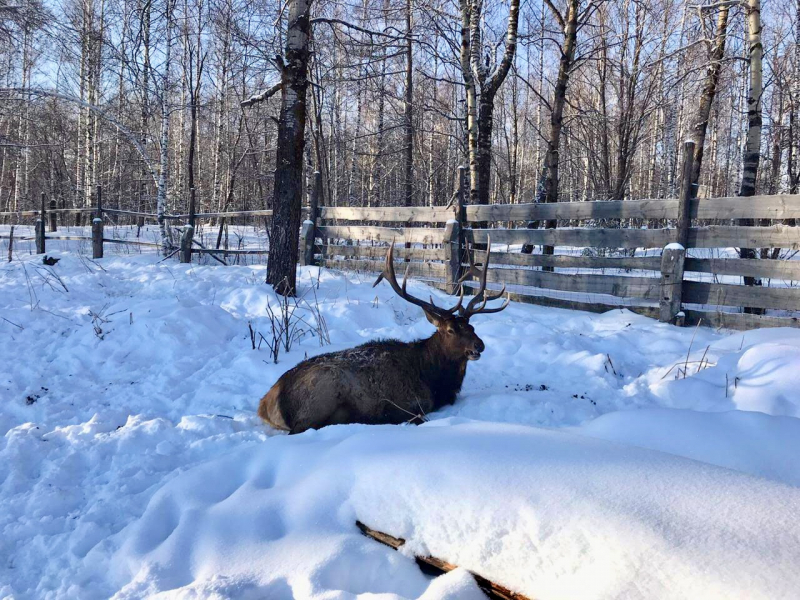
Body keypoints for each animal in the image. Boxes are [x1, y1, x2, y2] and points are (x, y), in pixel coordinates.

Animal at [260, 241, 510, 434]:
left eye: (471, 326)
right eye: (450, 330)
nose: (480, 345)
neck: (434, 380)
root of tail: (266, 403)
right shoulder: (414, 401)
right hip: (322, 391)